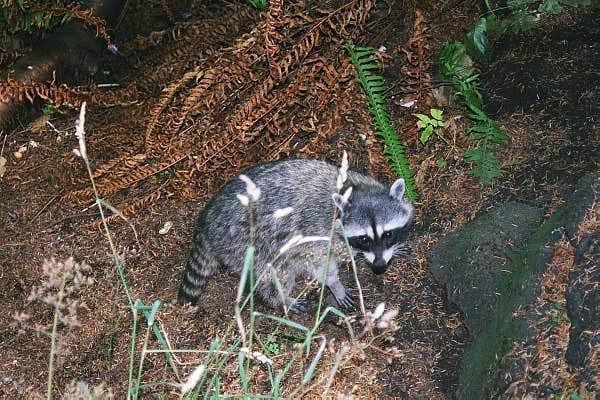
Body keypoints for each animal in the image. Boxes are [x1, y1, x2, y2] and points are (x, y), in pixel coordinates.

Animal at [177, 159, 412, 312]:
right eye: (364, 238)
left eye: (388, 234)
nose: (380, 265)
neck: (353, 190)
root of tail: (207, 222)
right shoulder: (316, 232)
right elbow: (320, 263)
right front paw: (334, 284)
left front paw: (392, 250)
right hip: (246, 243)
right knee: (276, 273)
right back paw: (279, 299)